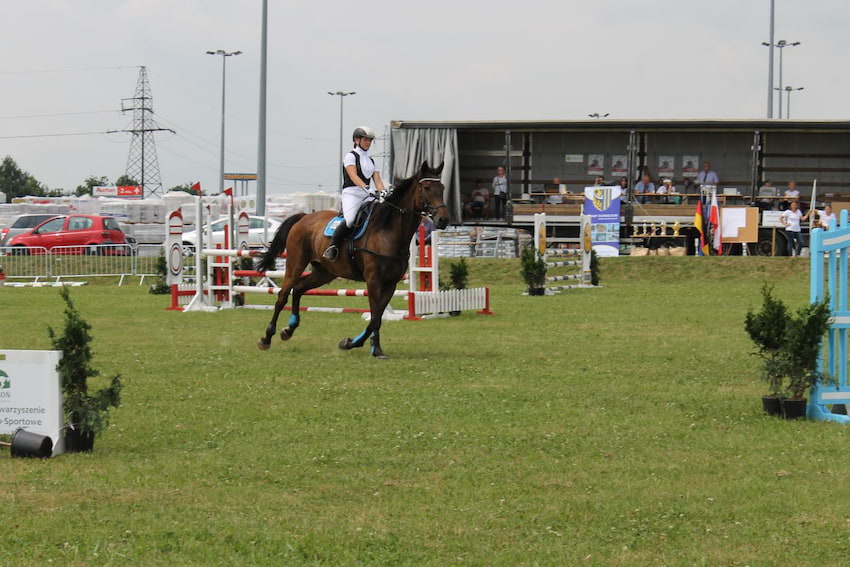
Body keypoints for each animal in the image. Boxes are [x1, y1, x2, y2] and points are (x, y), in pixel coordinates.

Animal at [253, 162, 448, 358]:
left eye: (442, 188)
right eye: (427, 187)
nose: (443, 219)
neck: (388, 231)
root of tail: (304, 217)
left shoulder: (390, 284)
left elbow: (376, 317)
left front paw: (350, 343)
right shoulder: (374, 280)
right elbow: (375, 318)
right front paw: (375, 350)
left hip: (325, 272)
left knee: (299, 288)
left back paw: (289, 329)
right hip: (295, 264)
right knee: (282, 295)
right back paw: (266, 338)